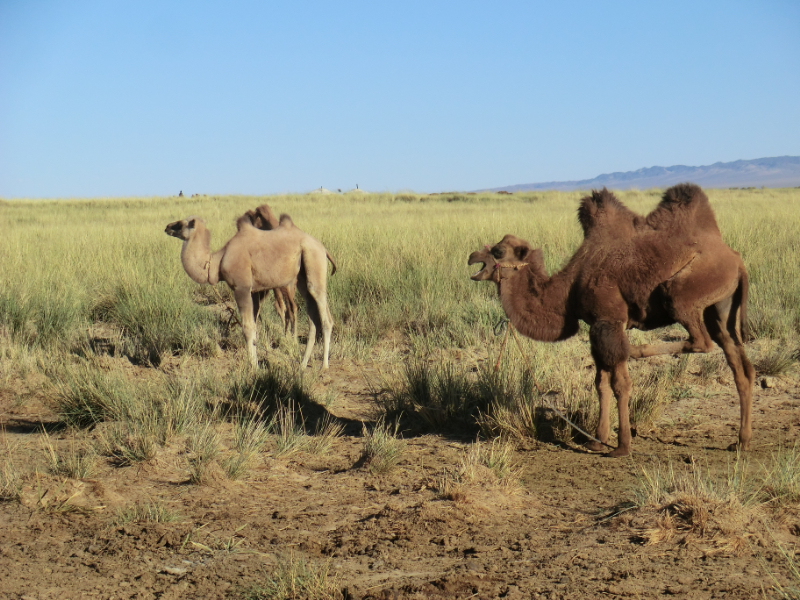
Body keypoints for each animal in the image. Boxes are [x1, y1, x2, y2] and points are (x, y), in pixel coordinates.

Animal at [166, 211, 334, 370]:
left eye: (181, 224)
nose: (167, 227)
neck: (216, 262)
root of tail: (323, 248)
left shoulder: (242, 288)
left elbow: (247, 328)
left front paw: (253, 367)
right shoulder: (253, 292)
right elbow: (253, 327)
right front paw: (255, 363)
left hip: (314, 262)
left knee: (326, 318)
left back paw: (324, 365)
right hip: (302, 277)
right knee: (313, 317)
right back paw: (303, 365)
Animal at [466, 185, 752, 458]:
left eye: (498, 251)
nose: (472, 256)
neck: (569, 288)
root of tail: (737, 260)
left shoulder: (609, 321)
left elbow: (620, 384)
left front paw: (622, 446)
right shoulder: (595, 327)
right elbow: (600, 383)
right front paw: (597, 441)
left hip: (682, 291)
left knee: (701, 340)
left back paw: (638, 350)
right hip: (720, 306)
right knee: (739, 364)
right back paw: (741, 442)